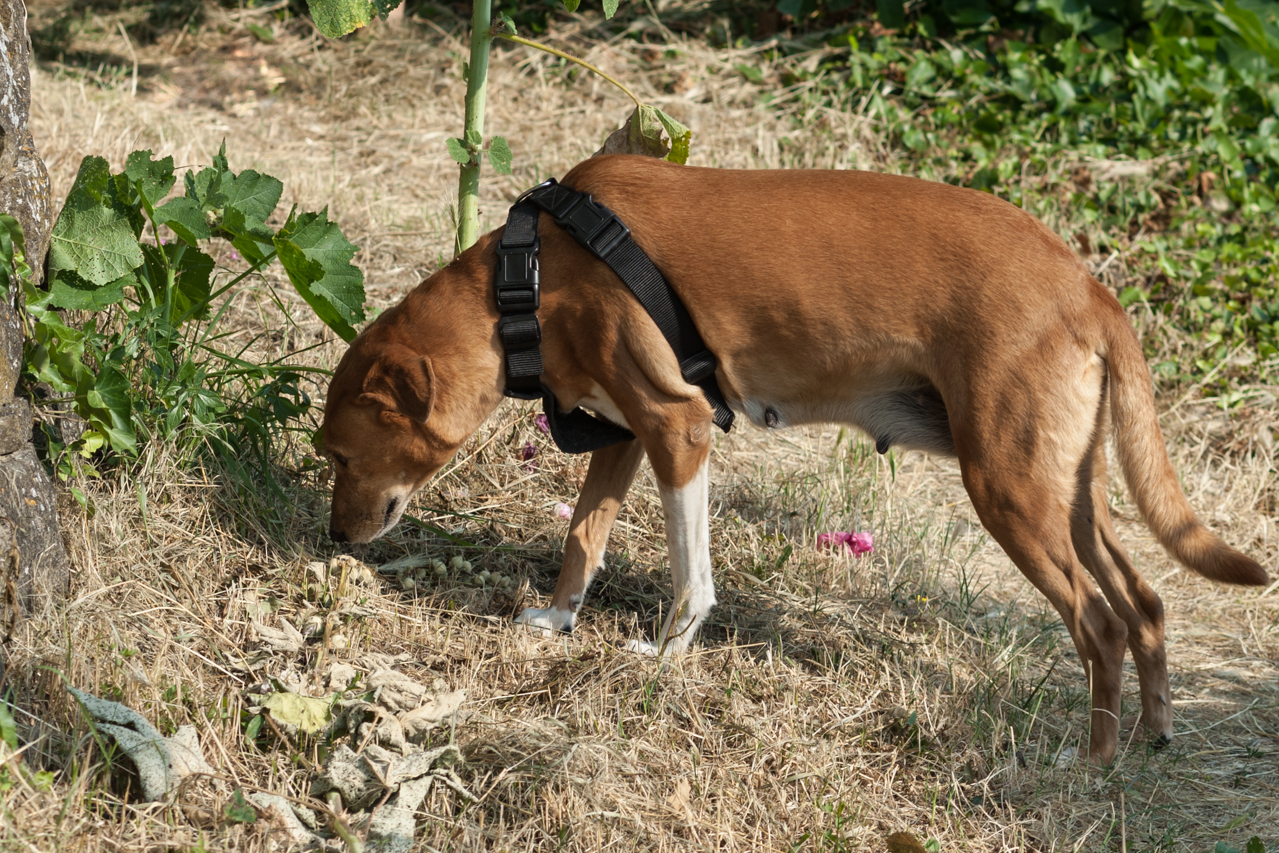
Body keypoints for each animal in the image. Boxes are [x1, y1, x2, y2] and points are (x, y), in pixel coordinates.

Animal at [322, 155, 1268, 767]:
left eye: (337, 452)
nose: (332, 538)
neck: (530, 274)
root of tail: (1088, 288)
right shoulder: (623, 436)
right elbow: (582, 540)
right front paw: (557, 620)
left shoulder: (678, 428)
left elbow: (691, 576)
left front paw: (667, 655)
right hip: (1065, 493)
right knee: (1143, 602)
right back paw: (1149, 734)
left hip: (1009, 491)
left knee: (1099, 622)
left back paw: (1092, 761)